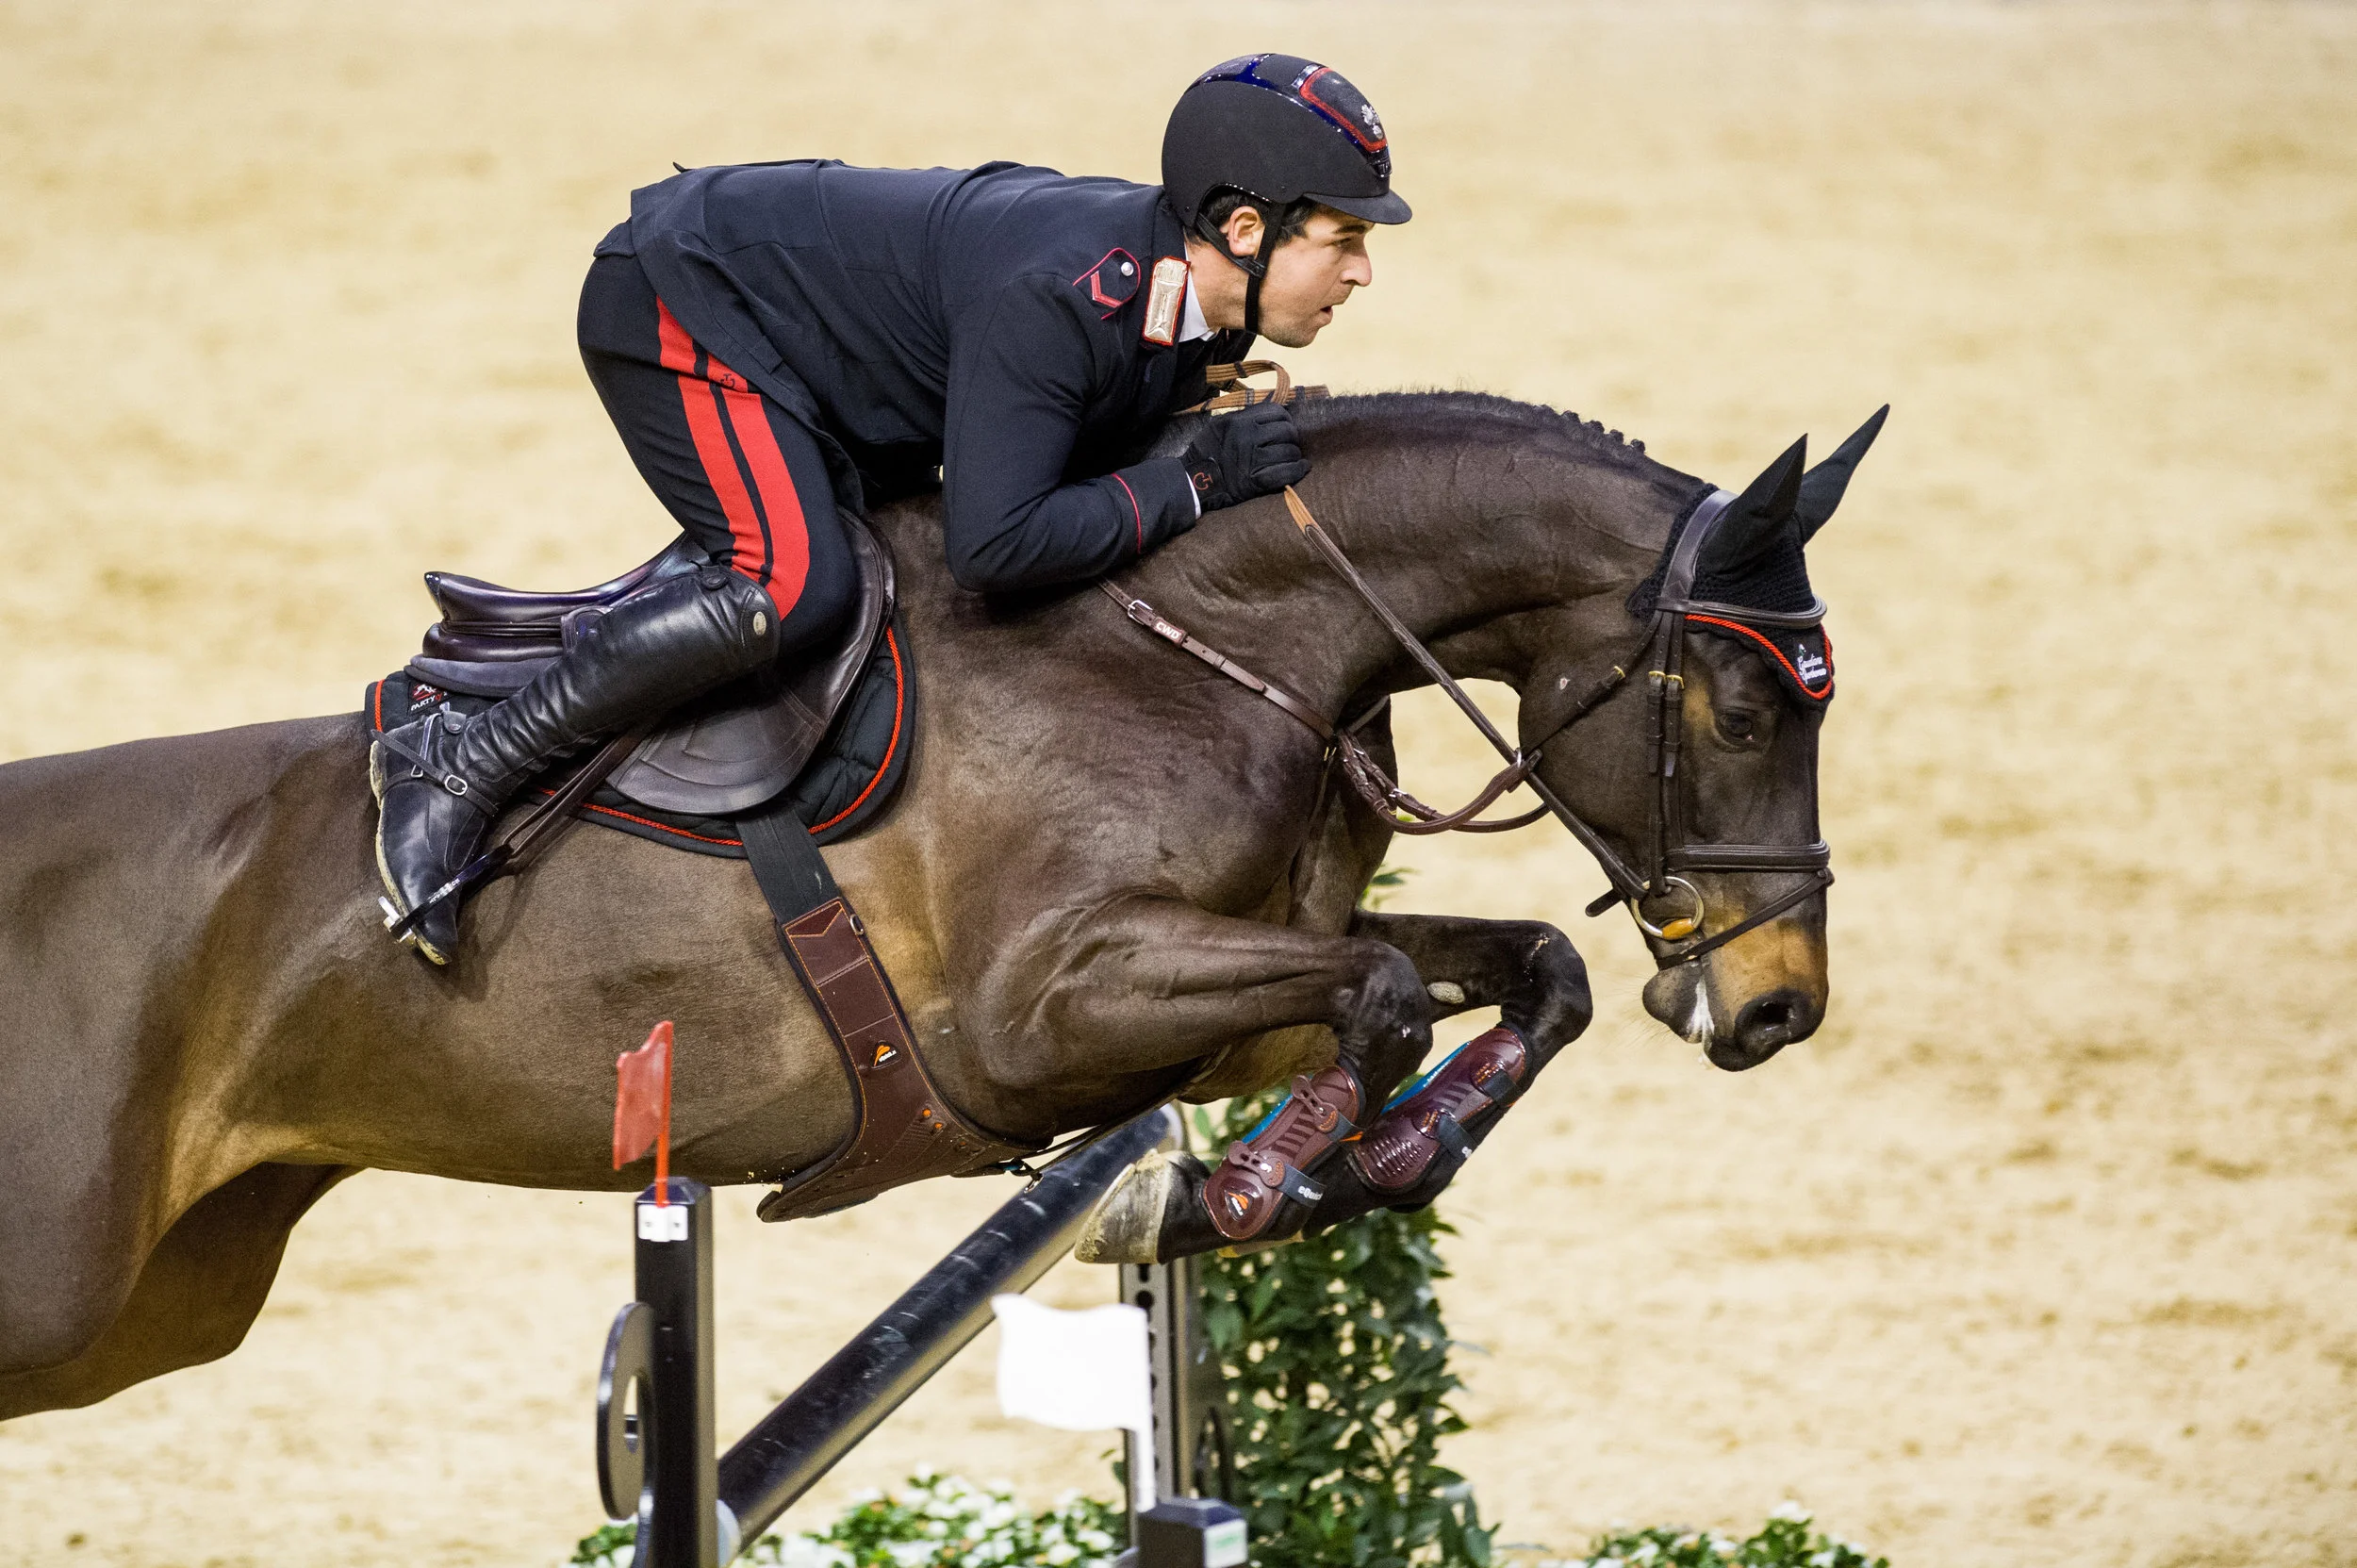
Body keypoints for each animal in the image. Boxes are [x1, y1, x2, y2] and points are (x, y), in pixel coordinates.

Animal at [0, 390, 1876, 1419]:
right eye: (1741, 708)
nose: (1779, 1000)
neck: (1209, 641)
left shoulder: (1225, 1006)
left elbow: (1517, 970)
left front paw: (1389, 1152)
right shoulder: (1047, 1011)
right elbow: (1390, 995)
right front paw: (1263, 1184)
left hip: (161, 1297)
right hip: (65, 1290)